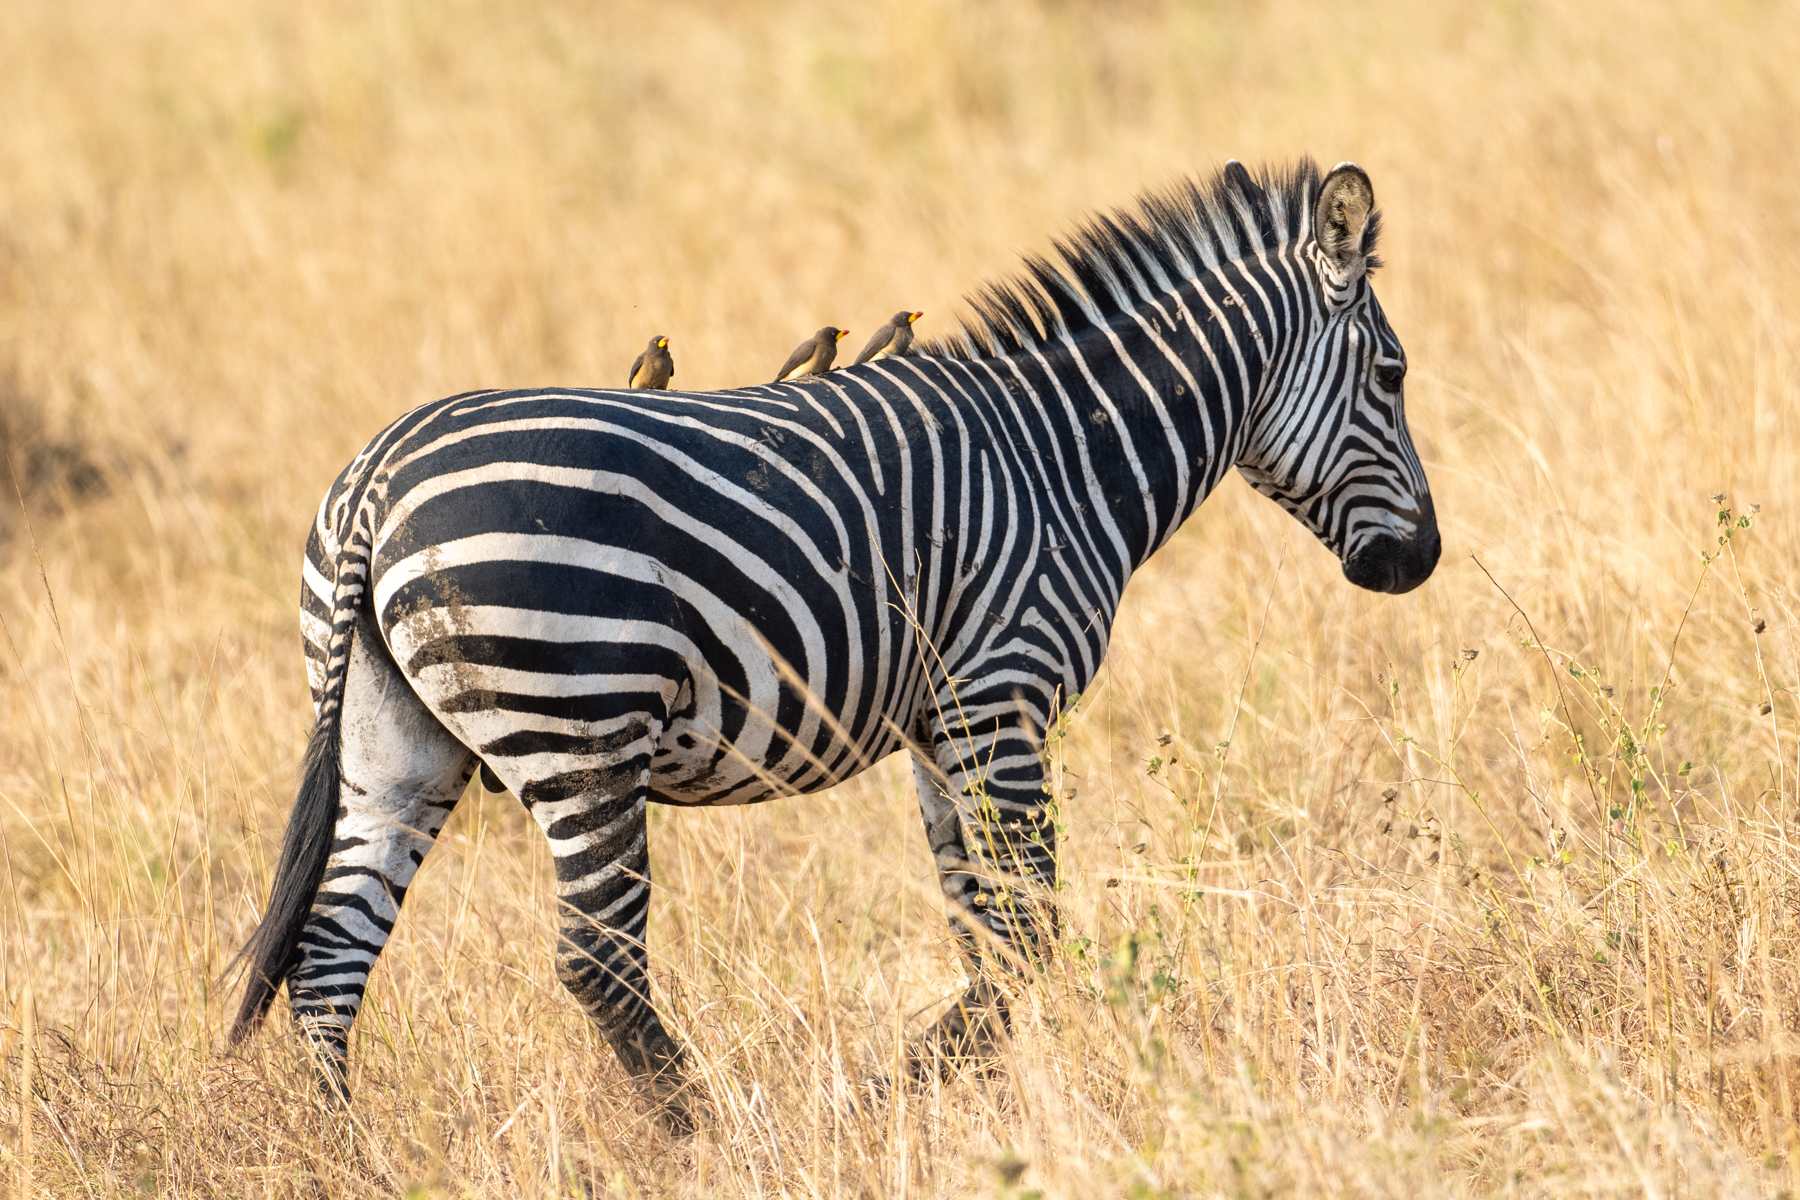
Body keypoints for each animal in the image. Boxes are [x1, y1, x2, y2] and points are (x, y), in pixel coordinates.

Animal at [229, 158, 1438, 1130]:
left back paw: (355, 1155)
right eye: (1393, 377)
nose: (1419, 561)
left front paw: (967, 1094)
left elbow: (980, 925)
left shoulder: (943, 724)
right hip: (582, 724)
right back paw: (706, 1132)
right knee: (597, 959)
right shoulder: (1002, 696)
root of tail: (378, 481)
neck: (1067, 457)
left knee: (331, 961)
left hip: (394, 744)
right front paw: (893, 1095)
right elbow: (1029, 928)